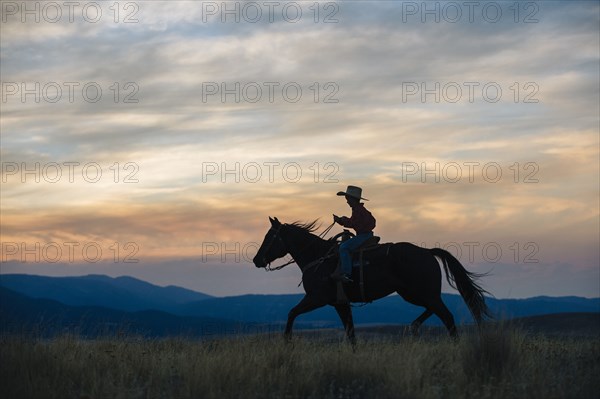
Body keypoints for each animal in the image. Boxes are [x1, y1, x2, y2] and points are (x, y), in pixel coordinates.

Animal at [251, 217, 490, 346]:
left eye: (269, 237)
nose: (256, 260)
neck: (318, 258)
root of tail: (428, 252)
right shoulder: (340, 304)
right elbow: (351, 333)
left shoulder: (316, 298)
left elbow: (292, 313)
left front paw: (287, 342)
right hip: (415, 294)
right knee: (434, 310)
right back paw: (413, 327)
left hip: (421, 294)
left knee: (447, 317)